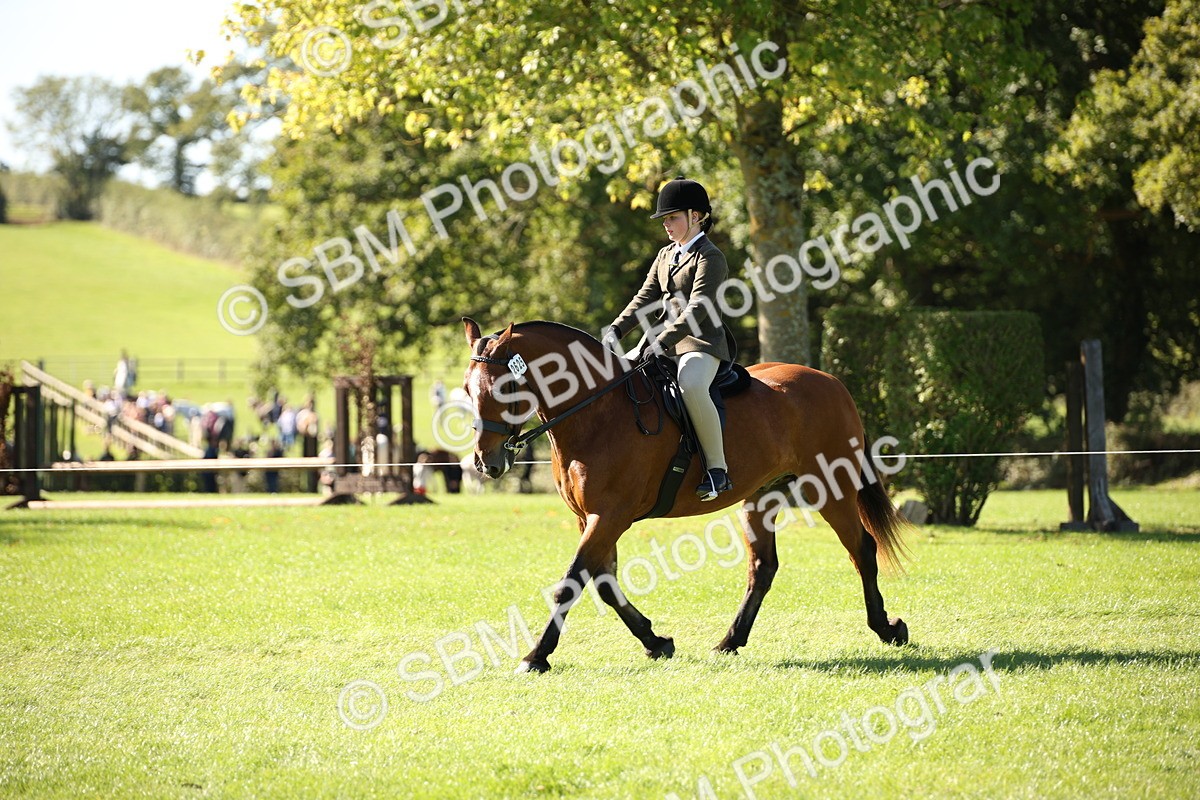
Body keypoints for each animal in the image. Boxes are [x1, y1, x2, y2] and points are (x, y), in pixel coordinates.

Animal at [461, 318, 909, 673]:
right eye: (467, 389)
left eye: (506, 387)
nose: (486, 462)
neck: (596, 413)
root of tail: (831, 382)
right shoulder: (590, 519)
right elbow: (603, 583)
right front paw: (655, 641)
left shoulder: (610, 516)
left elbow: (571, 584)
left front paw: (536, 656)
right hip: (761, 498)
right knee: (762, 567)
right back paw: (730, 641)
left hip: (831, 488)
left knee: (862, 550)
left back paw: (887, 629)